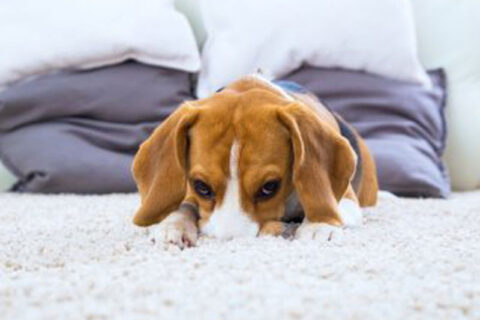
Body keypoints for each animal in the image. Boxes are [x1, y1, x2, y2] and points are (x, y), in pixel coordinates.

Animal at [131, 74, 378, 248]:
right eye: (201, 187)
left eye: (269, 187)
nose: (231, 242)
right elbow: (184, 205)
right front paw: (172, 225)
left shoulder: (347, 201)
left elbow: (324, 203)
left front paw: (319, 224)